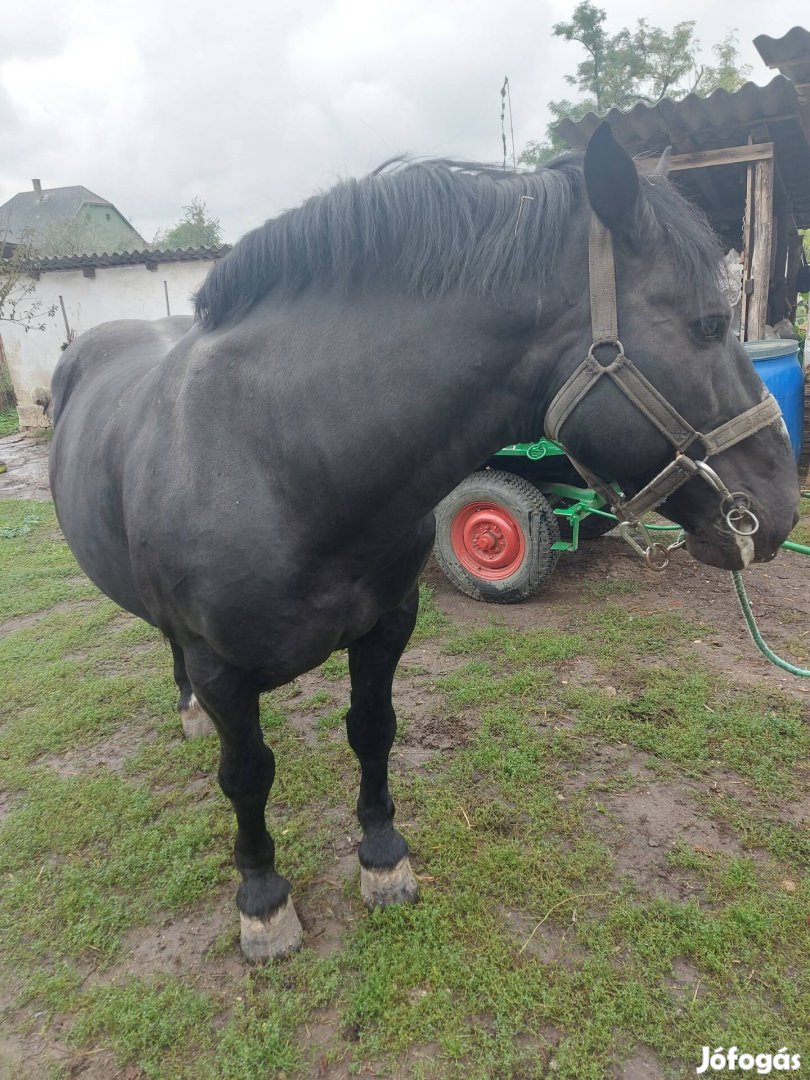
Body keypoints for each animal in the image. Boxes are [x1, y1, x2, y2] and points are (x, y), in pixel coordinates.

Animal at [49, 126, 799, 963]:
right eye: (707, 324)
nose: (778, 506)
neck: (276, 453)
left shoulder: (388, 626)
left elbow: (372, 731)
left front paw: (382, 859)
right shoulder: (221, 668)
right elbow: (246, 775)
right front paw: (263, 902)